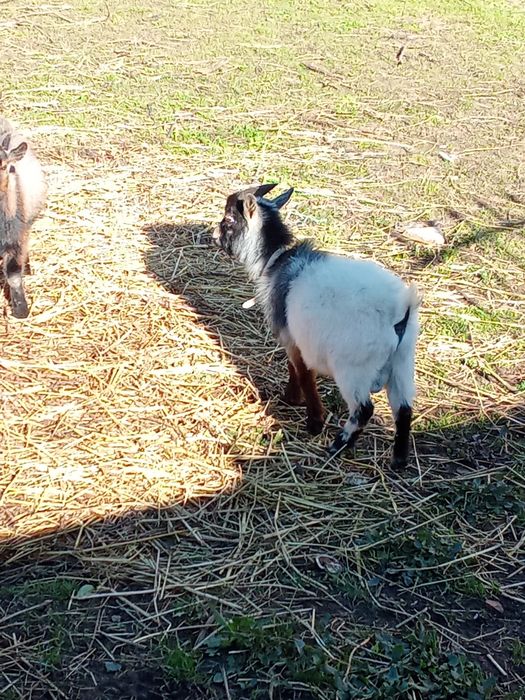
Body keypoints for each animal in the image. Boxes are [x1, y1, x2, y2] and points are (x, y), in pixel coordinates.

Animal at [212, 184, 421, 469]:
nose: (214, 235)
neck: (276, 261)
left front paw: (310, 418)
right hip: (403, 362)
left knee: (364, 409)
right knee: (404, 409)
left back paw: (337, 445)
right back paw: (398, 460)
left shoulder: (292, 338)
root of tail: (400, 310)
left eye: (229, 220)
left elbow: (301, 372)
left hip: (353, 369)